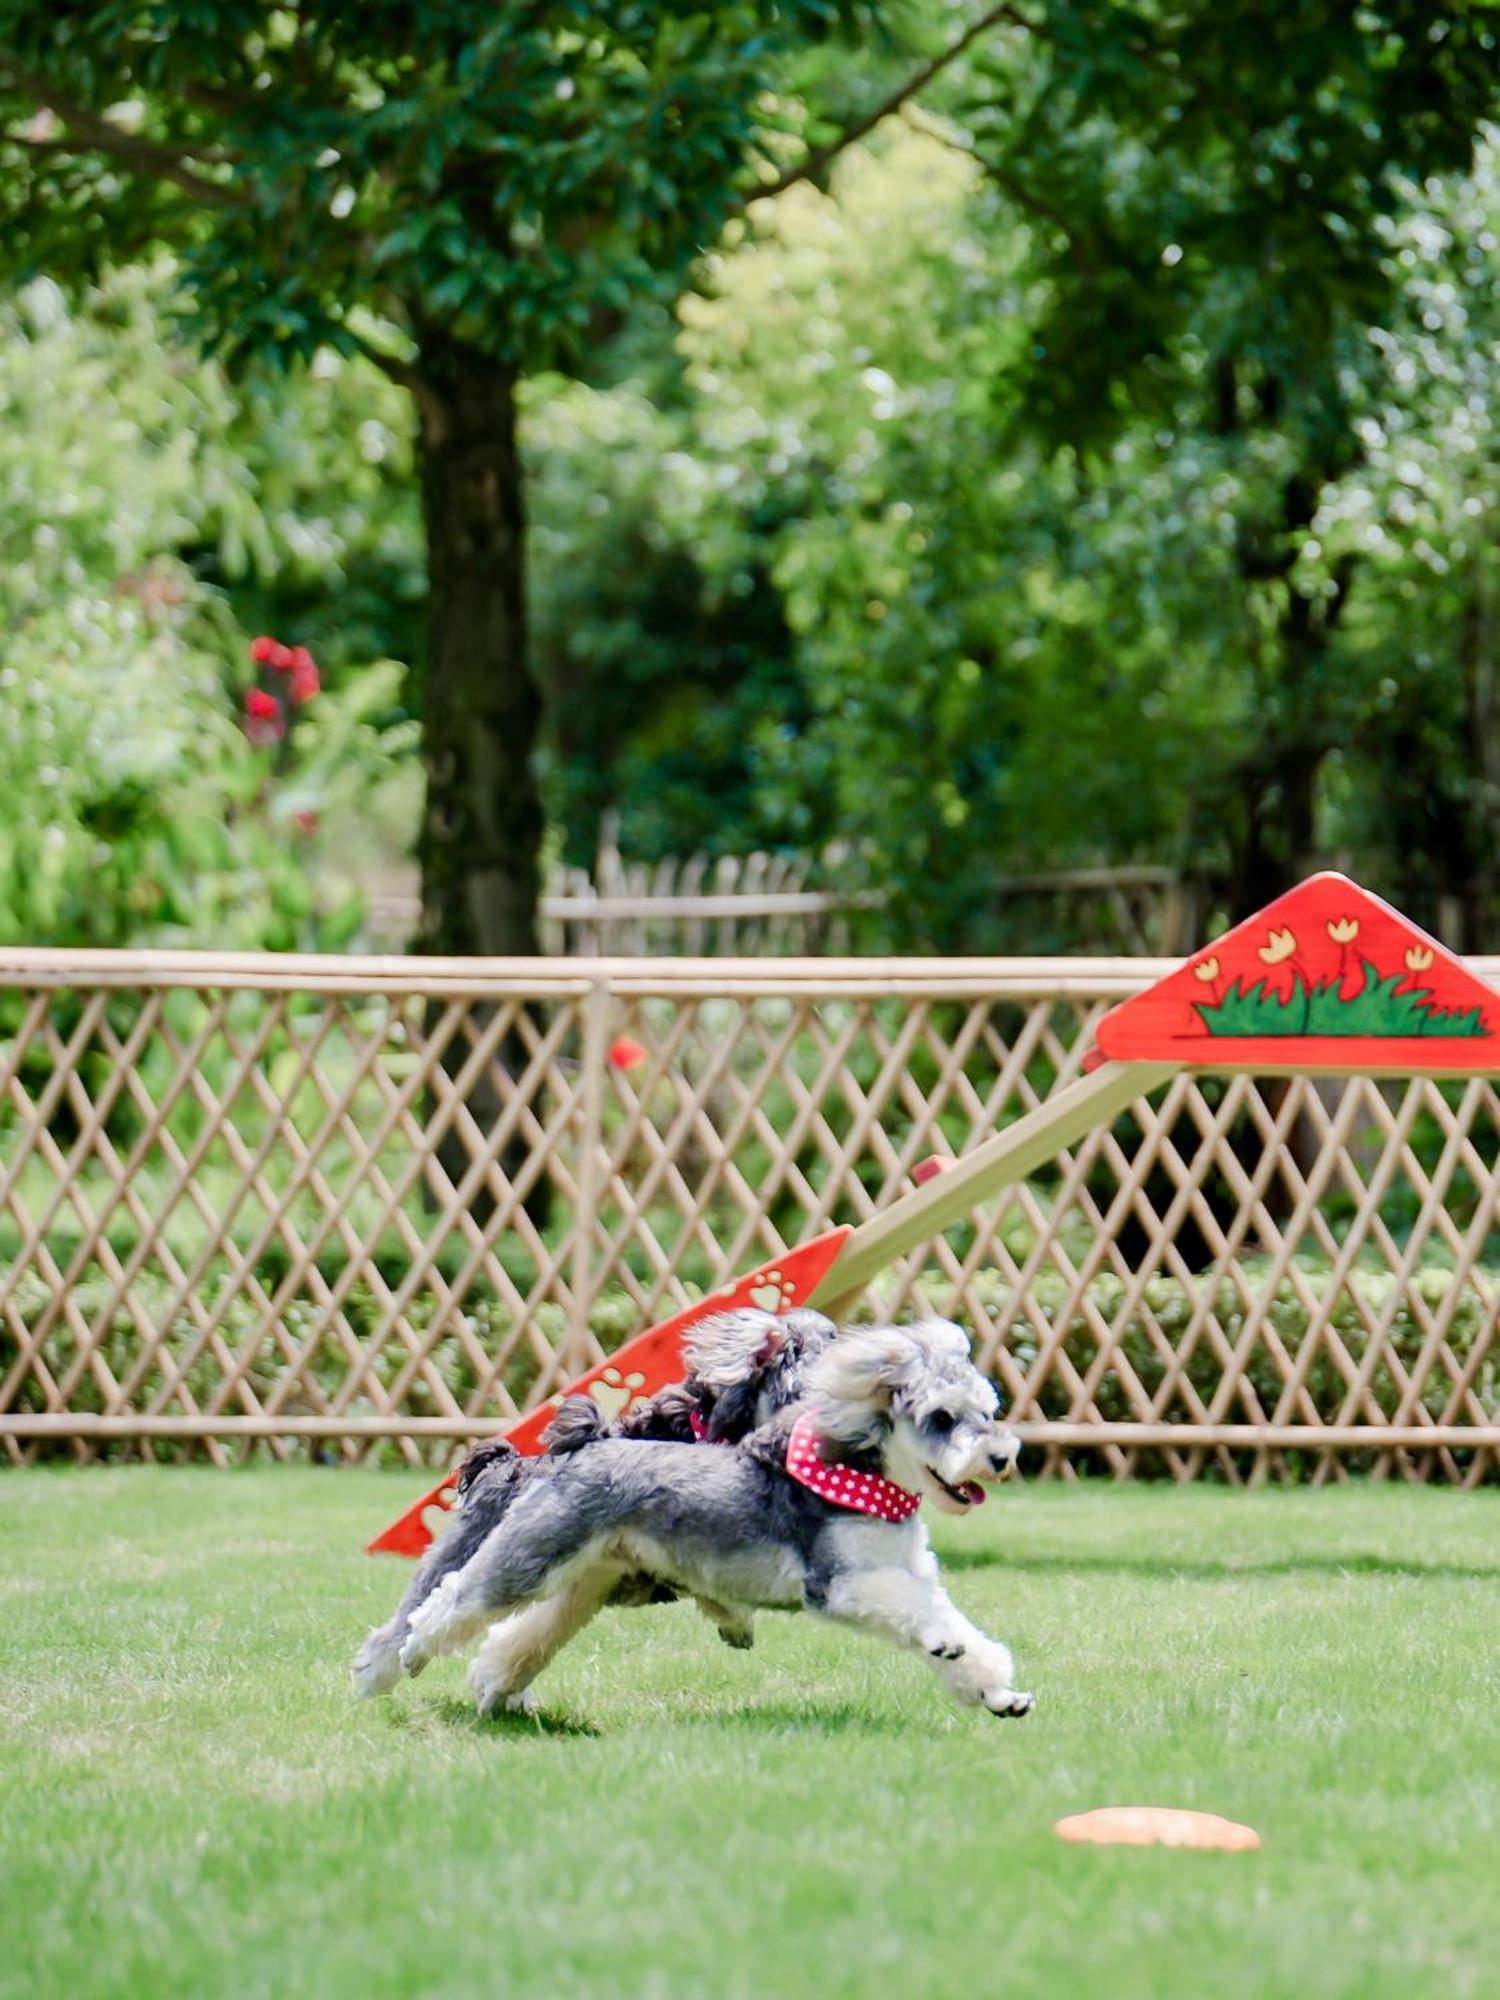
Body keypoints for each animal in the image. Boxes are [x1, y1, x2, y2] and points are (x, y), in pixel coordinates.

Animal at [362, 1320, 1032, 1728]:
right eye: (942, 1417)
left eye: (987, 1410)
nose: (1001, 1457)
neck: (864, 1477)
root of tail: (583, 1445)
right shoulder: (842, 1584)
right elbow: (921, 1618)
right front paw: (947, 1646)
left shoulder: (912, 1574)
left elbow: (960, 1631)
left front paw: (1000, 1695)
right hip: (530, 1556)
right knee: (449, 1602)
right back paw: (395, 1664)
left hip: (586, 1575)